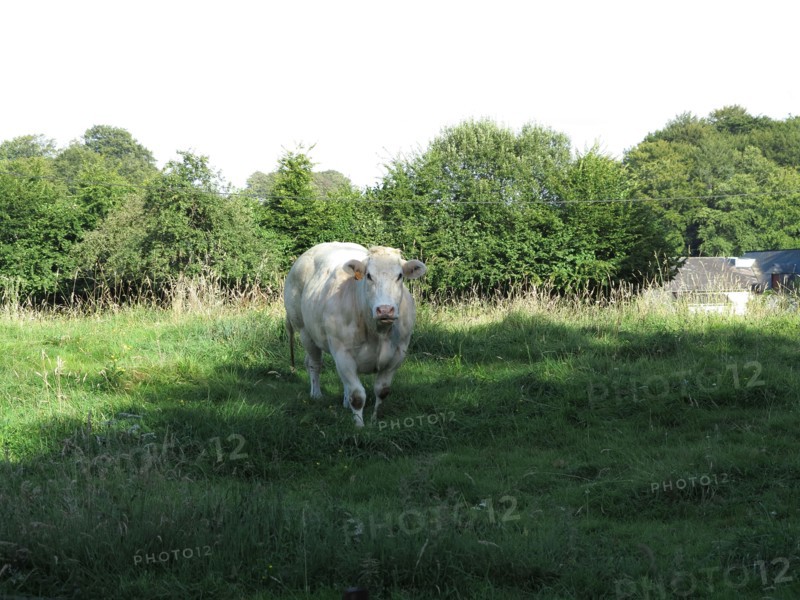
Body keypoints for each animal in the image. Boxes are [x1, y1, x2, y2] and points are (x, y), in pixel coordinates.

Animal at [284, 242, 427, 426]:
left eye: (400, 276)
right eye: (369, 275)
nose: (385, 310)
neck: (377, 333)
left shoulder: (397, 354)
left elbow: (382, 390)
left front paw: (374, 418)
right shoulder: (342, 352)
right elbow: (357, 395)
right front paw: (359, 426)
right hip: (305, 331)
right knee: (314, 364)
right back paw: (316, 395)